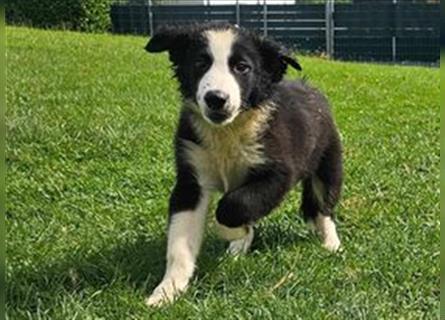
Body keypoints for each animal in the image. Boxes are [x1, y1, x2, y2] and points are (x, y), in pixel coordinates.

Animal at [144, 23, 342, 308]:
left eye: (242, 67)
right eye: (200, 63)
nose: (216, 98)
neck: (228, 130)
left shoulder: (277, 173)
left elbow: (233, 206)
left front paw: (231, 231)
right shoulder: (191, 181)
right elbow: (180, 243)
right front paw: (168, 290)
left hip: (328, 164)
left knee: (323, 207)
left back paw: (331, 243)